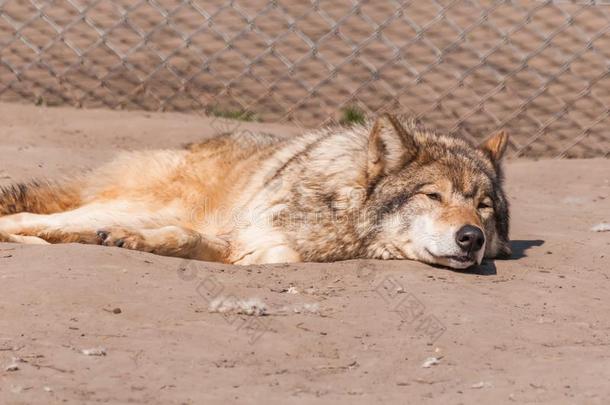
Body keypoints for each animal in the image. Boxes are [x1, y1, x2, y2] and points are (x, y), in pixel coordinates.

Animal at [0, 113, 508, 268]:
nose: (472, 238)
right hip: (137, 203)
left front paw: (133, 242)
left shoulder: (253, 251)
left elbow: (186, 240)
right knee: (33, 219)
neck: (340, 215)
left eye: (483, 207)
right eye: (433, 196)